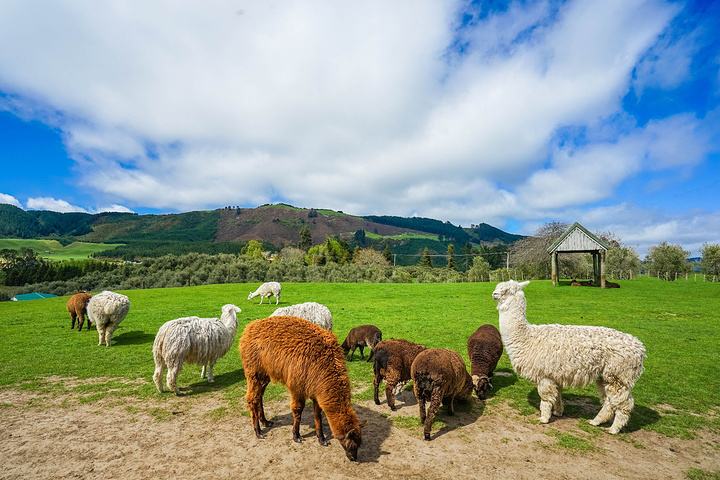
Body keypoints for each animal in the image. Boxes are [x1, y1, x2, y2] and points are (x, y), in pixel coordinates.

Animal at [492, 280, 644, 434]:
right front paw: (558, 412)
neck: (527, 337)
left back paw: (613, 429)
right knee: (609, 400)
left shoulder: (545, 374)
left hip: (619, 375)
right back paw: (596, 422)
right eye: (498, 287)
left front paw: (544, 418)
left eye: (507, 291)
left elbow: (546, 398)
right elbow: (558, 395)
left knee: (624, 403)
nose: (494, 293)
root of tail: (640, 347)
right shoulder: (555, 375)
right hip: (605, 376)